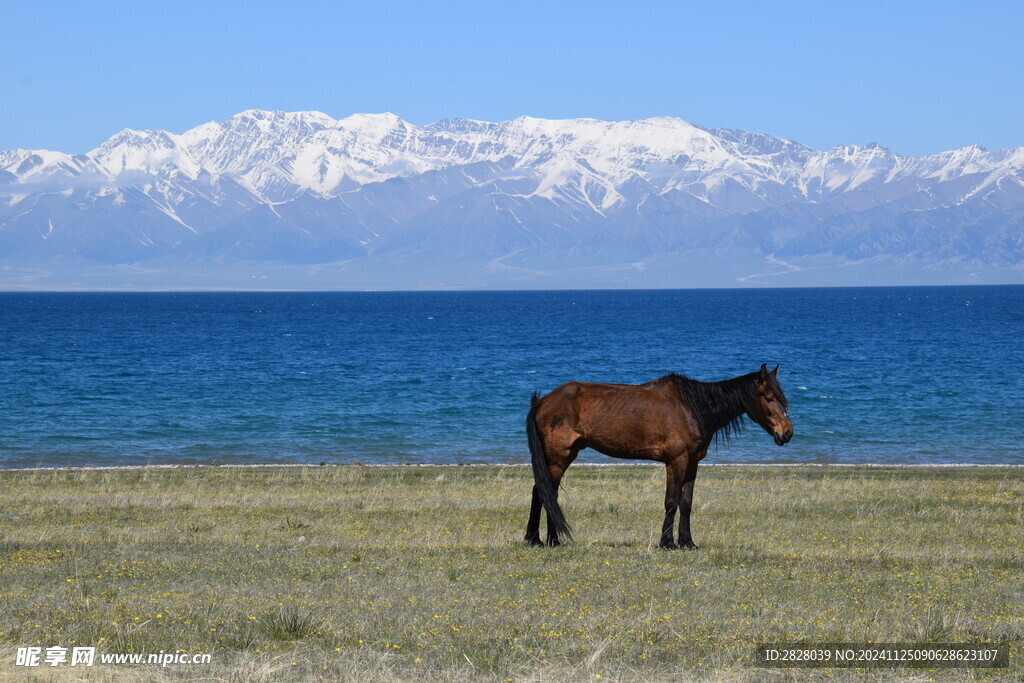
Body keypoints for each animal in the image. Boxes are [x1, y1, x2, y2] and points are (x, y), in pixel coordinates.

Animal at [524, 362, 794, 548]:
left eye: (782, 398)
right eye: (769, 397)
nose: (787, 433)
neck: (692, 408)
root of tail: (542, 401)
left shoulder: (692, 463)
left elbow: (686, 502)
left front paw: (687, 542)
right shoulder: (676, 461)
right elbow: (671, 501)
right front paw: (667, 543)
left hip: (565, 455)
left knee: (549, 493)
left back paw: (549, 539)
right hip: (558, 457)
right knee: (543, 492)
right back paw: (538, 539)